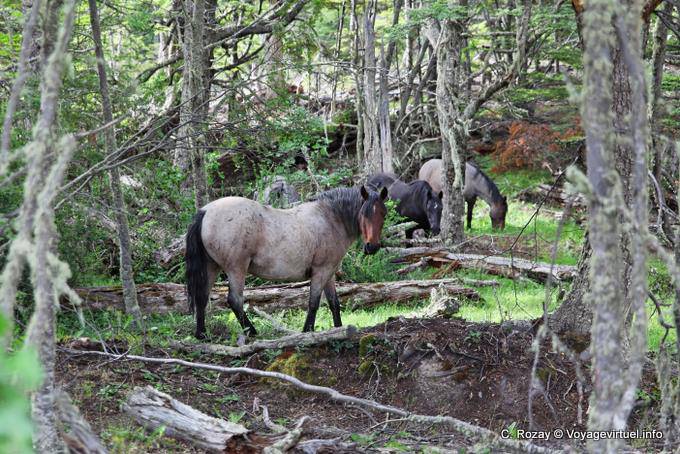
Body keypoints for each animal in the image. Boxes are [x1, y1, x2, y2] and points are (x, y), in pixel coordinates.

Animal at [185, 185, 389, 339]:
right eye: (364, 213)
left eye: (383, 214)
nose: (372, 247)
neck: (330, 218)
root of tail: (206, 211)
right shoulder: (321, 271)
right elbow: (314, 302)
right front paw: (307, 331)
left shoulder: (329, 273)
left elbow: (334, 303)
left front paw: (338, 329)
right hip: (236, 269)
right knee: (234, 300)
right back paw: (252, 332)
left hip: (212, 267)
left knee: (202, 297)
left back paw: (202, 334)